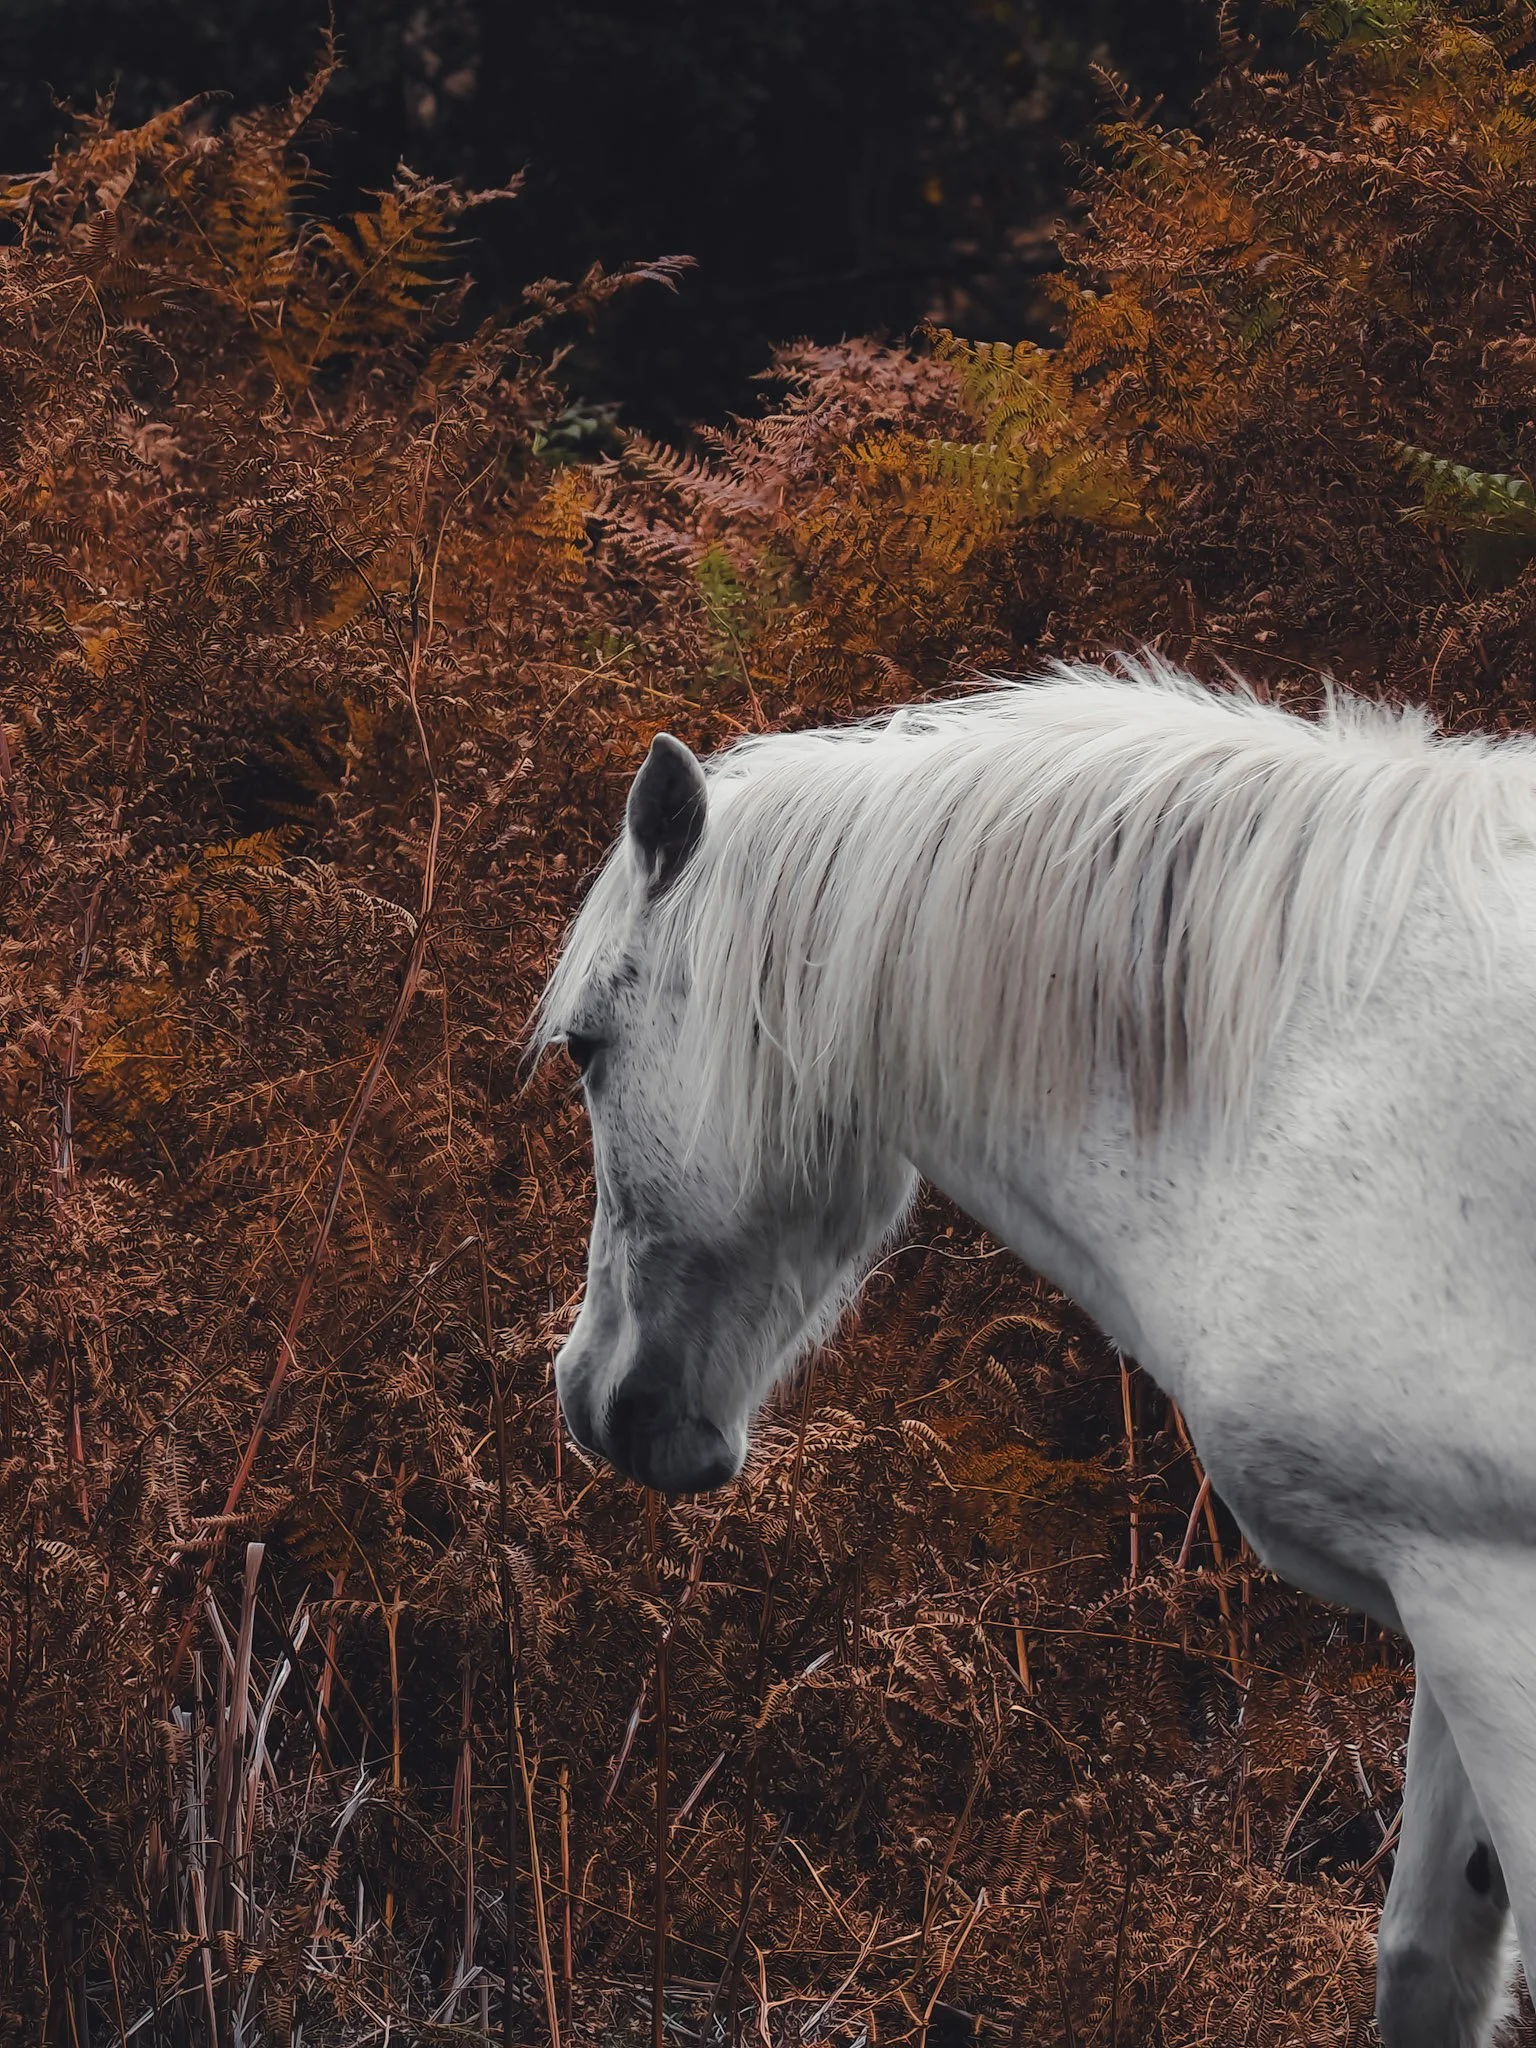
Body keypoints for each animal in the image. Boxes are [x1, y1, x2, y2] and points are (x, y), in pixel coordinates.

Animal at [532, 655, 1536, 2046]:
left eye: (588, 1046)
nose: (590, 1394)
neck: (1310, 1065)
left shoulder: (1488, 1597)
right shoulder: (1445, 1609)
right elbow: (1426, 1960)